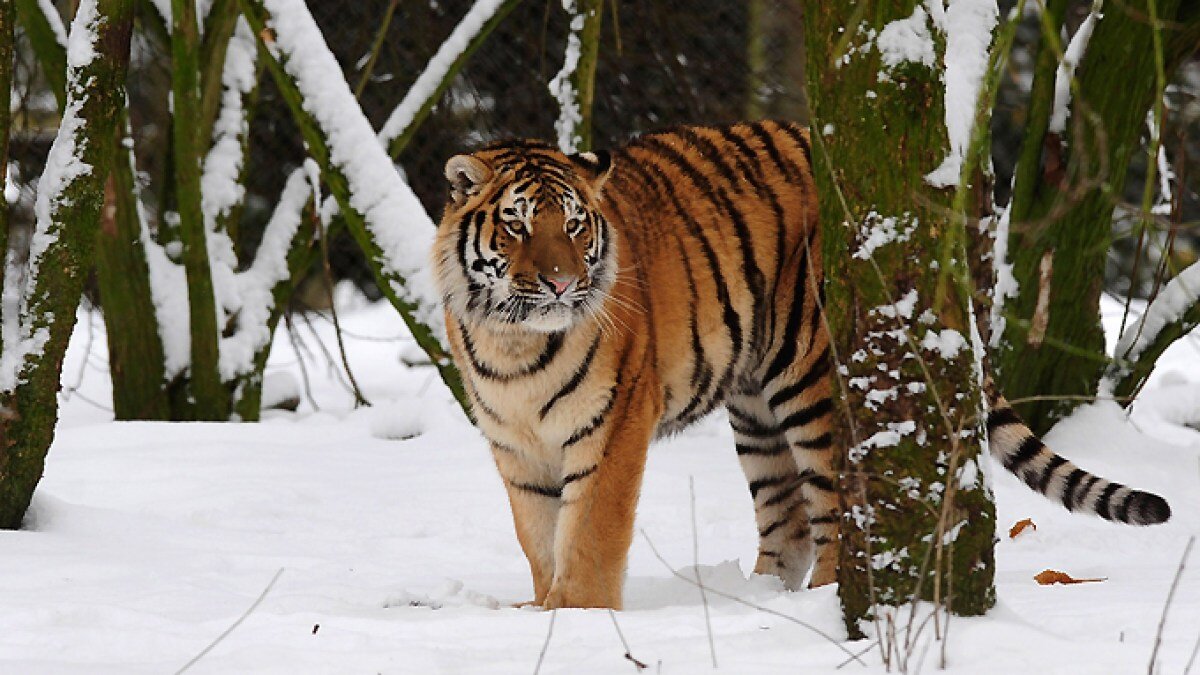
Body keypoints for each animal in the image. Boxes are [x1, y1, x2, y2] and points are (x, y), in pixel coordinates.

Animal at [431, 121, 1171, 610]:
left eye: (576, 226)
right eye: (518, 226)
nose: (563, 283)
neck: (513, 340)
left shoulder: (611, 428)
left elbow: (587, 536)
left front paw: (578, 620)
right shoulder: (516, 447)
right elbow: (540, 540)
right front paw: (544, 614)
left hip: (813, 381)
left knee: (838, 509)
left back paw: (820, 604)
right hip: (755, 407)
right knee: (785, 517)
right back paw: (759, 598)